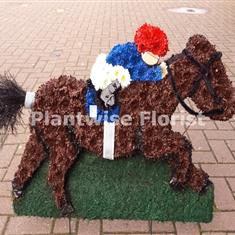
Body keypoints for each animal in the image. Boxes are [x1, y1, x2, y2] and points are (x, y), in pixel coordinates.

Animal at [0, 34, 234, 216]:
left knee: (29, 159)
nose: (231, 107)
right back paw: (64, 206)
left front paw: (198, 180)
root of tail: (35, 95)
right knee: (54, 174)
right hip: (63, 142)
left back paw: (18, 189)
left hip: (42, 136)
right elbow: (184, 145)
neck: (159, 93)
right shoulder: (151, 143)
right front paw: (179, 179)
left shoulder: (160, 139)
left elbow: (183, 151)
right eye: (216, 71)